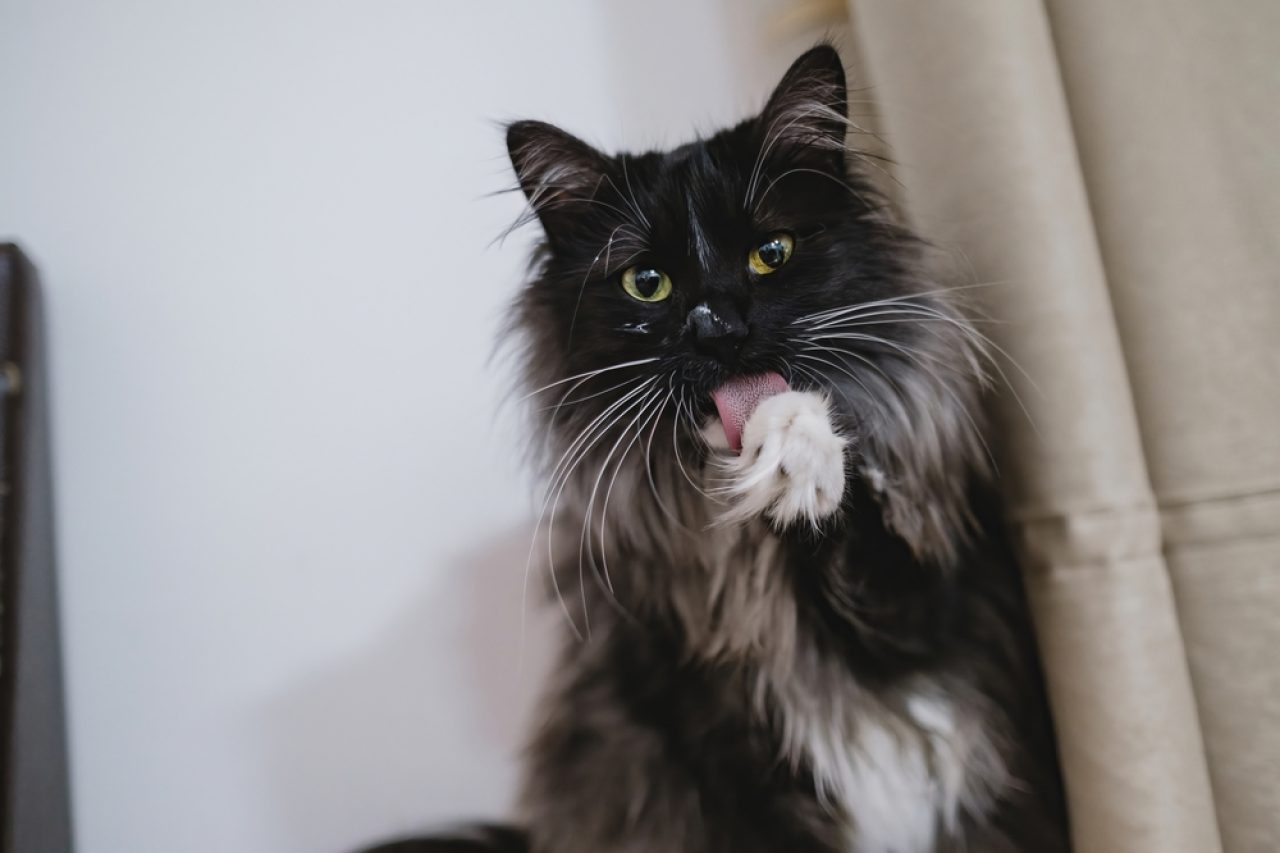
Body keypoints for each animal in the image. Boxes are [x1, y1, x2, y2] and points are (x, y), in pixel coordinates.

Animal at [363, 44, 1070, 850]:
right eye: (647, 282)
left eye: (771, 253)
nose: (718, 326)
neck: (755, 546)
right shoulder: (711, 737)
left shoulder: (926, 609)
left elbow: (857, 525)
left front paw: (795, 441)